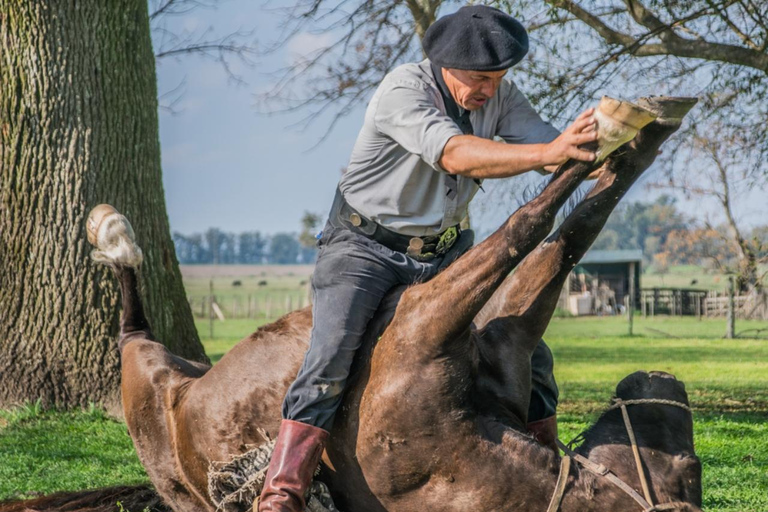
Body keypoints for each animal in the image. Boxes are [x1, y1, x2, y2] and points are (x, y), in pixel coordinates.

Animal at [3, 96, 700, 512]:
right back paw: (114, 236)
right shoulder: (432, 316)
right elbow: (543, 226)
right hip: (150, 373)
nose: (660, 379)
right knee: (132, 310)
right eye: (689, 468)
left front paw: (629, 141)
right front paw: (621, 143)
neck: (464, 456)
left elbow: (560, 238)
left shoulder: (498, 334)